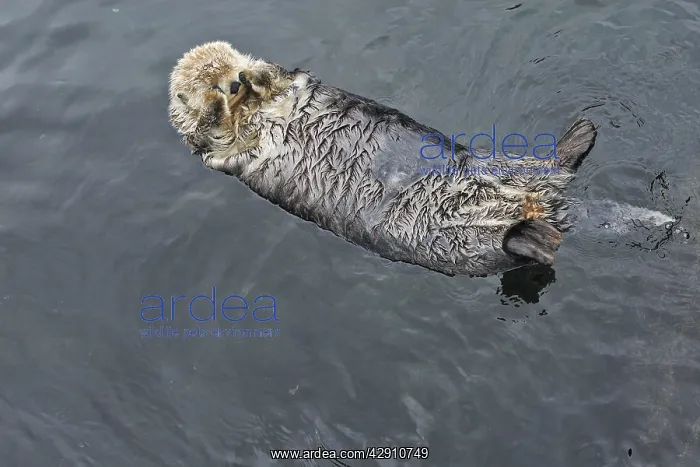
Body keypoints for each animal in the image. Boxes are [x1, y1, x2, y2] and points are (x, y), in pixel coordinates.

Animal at [168, 41, 674, 277]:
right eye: (210, 83)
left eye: (231, 70)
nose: (234, 83)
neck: (259, 110)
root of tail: (549, 208)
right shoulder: (221, 152)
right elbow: (215, 133)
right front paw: (215, 106)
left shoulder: (289, 84)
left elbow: (278, 75)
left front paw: (254, 77)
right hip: (461, 240)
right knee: (521, 249)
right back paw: (540, 236)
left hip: (507, 169)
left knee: (555, 169)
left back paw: (579, 137)